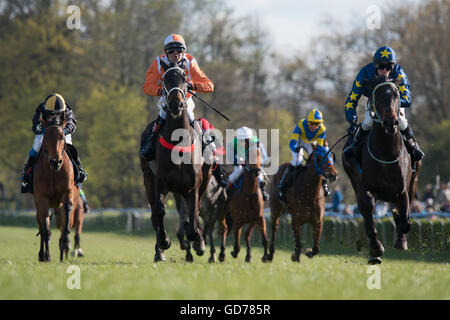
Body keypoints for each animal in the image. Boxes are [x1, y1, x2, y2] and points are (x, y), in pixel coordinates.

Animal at [32, 116, 81, 262]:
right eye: (46, 136)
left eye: (62, 136)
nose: (56, 162)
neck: (54, 173)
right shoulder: (42, 199)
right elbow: (46, 230)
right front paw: (47, 256)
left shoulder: (68, 193)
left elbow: (66, 225)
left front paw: (64, 247)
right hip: (38, 204)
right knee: (41, 226)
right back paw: (42, 255)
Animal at [140, 60, 212, 262]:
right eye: (165, 79)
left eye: (185, 78)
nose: (175, 104)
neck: (178, 141)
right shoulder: (160, 181)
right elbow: (160, 210)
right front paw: (165, 242)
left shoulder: (194, 185)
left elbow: (193, 215)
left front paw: (197, 241)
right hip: (148, 179)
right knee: (155, 216)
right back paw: (160, 252)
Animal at [342, 75, 424, 264]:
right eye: (376, 96)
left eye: (396, 95)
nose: (390, 122)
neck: (386, 153)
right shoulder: (365, 189)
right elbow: (368, 213)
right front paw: (376, 248)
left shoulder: (402, 191)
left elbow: (405, 221)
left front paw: (400, 238)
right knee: (365, 213)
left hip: (414, 180)